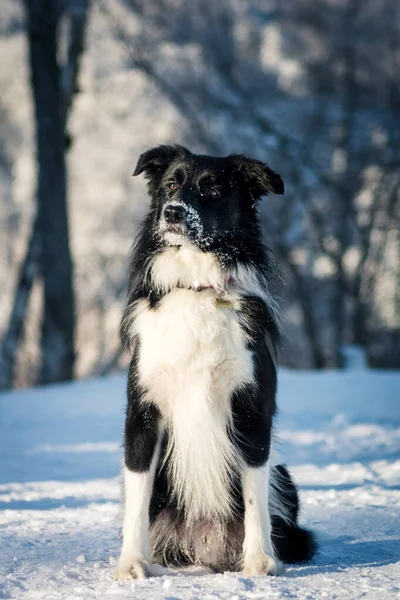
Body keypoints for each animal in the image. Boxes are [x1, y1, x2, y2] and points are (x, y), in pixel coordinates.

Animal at [115, 143, 316, 580]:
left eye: (212, 189)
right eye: (171, 185)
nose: (172, 212)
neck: (198, 286)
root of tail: (204, 546)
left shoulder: (251, 410)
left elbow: (255, 495)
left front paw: (259, 560)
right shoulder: (143, 412)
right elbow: (136, 498)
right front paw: (131, 563)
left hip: (284, 476)